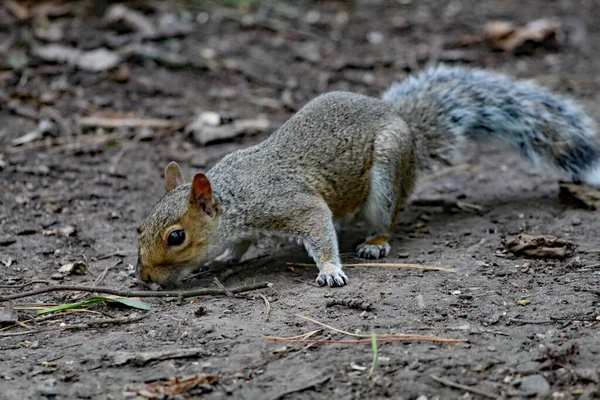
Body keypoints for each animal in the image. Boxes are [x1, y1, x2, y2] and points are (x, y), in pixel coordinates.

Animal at [136, 64, 600, 288]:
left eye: (176, 237)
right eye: (140, 227)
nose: (143, 278)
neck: (234, 195)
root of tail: (407, 130)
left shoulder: (291, 203)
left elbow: (318, 228)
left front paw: (329, 270)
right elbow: (239, 244)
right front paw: (227, 258)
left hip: (387, 175)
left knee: (386, 217)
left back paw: (375, 242)